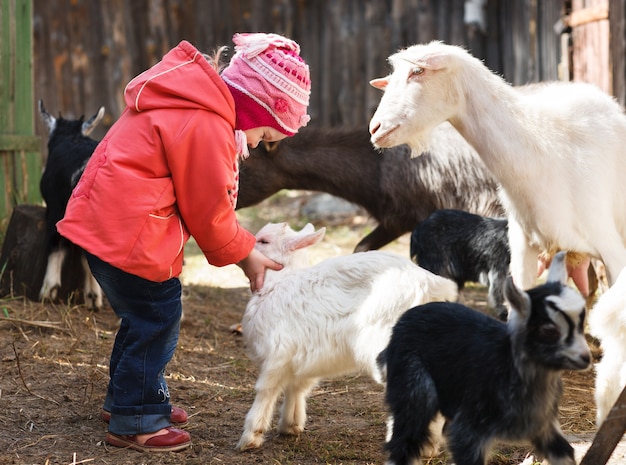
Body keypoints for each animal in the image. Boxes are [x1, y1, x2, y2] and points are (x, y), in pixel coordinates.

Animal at [236, 221, 456, 450]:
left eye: (264, 241)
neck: (278, 282)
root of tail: (430, 285)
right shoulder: (302, 360)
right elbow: (296, 388)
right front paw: (290, 426)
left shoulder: (277, 356)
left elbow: (266, 390)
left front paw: (250, 438)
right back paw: (429, 447)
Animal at [376, 252, 588, 464]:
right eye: (549, 330)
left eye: (581, 322)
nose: (586, 357)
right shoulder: (469, 429)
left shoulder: (544, 426)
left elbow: (564, 452)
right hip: (412, 385)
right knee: (405, 440)